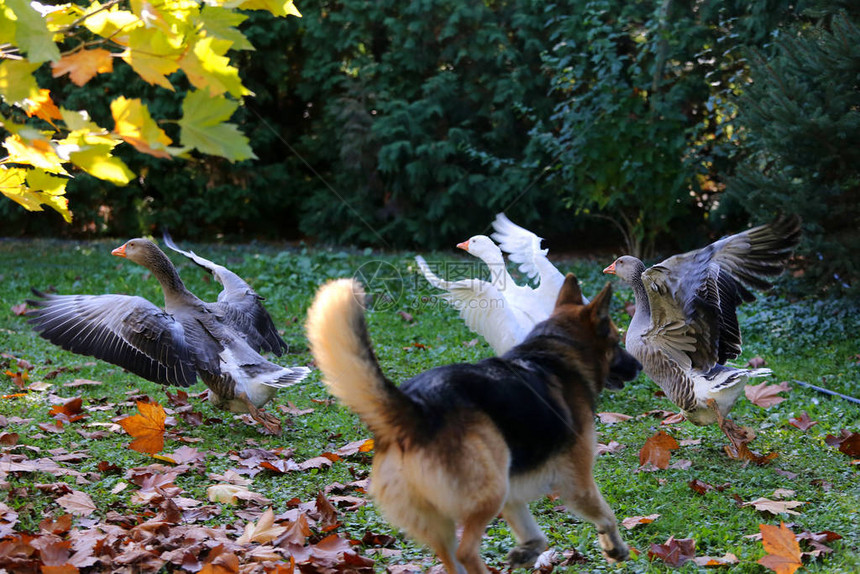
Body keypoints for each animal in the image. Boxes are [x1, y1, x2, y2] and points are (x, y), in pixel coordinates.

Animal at [308, 276, 640, 572]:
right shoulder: (577, 482)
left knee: (451, 558)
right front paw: (615, 548)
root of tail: (414, 410)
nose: (638, 366)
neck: (556, 348)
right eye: (615, 340)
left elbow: (536, 536)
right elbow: (606, 515)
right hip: (489, 493)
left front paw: (527, 552)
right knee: (466, 552)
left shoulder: (512, 491)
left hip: (458, 510)